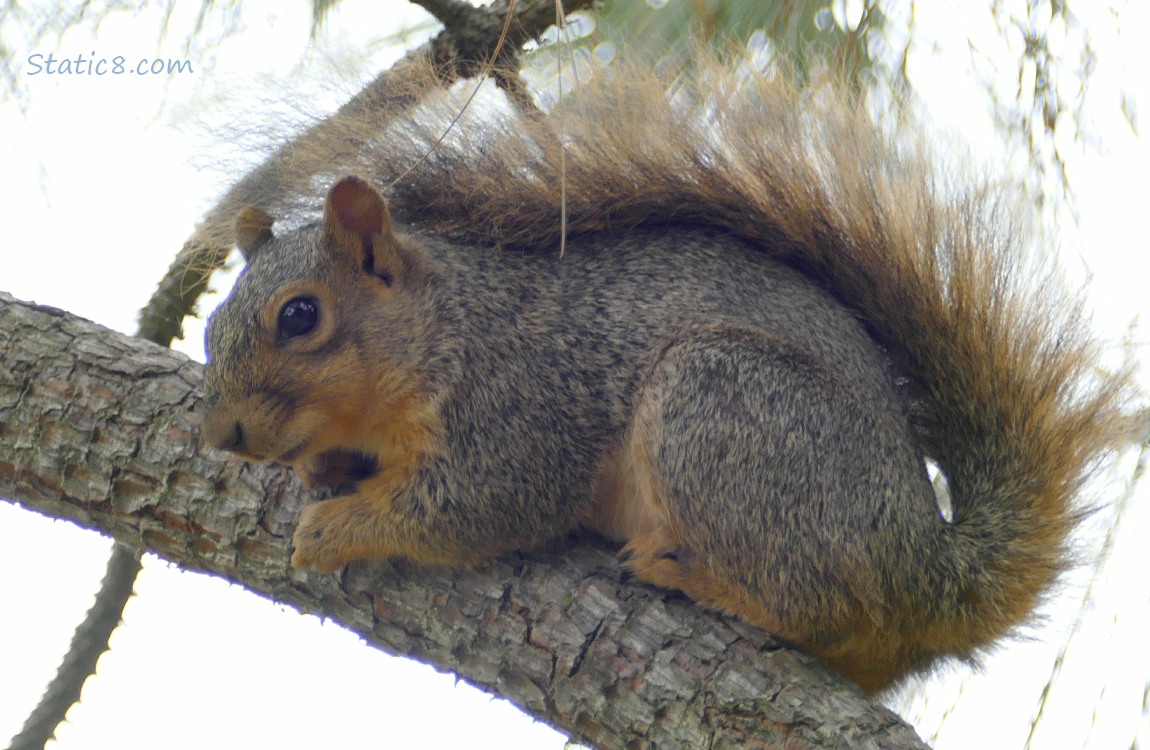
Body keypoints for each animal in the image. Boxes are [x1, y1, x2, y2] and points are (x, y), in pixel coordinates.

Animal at [199, 54, 1132, 694]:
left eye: (300, 316)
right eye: (209, 326)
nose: (224, 436)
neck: (443, 329)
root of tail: (927, 564)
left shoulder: (519, 406)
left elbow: (473, 505)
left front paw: (336, 525)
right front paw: (321, 467)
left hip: (722, 406)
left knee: (821, 605)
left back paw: (689, 574)